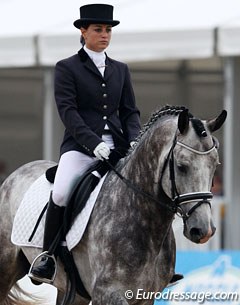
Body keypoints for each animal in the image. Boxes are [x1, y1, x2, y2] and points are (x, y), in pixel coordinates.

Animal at [0, 106, 227, 304]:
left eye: (215, 165)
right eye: (181, 166)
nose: (203, 230)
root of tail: (16, 173)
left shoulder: (145, 297)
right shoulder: (108, 294)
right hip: (6, 267)